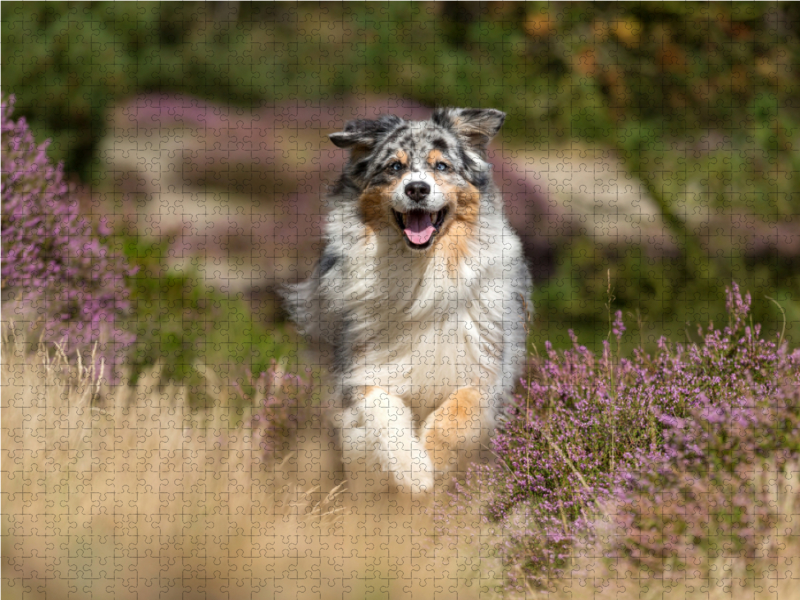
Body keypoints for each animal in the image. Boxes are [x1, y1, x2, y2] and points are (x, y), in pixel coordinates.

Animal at [282, 108, 532, 496]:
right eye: (394, 167)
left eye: (441, 166)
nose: (417, 188)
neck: (420, 273)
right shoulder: (362, 369)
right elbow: (384, 412)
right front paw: (414, 471)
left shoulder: (484, 367)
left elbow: (457, 414)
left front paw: (434, 464)